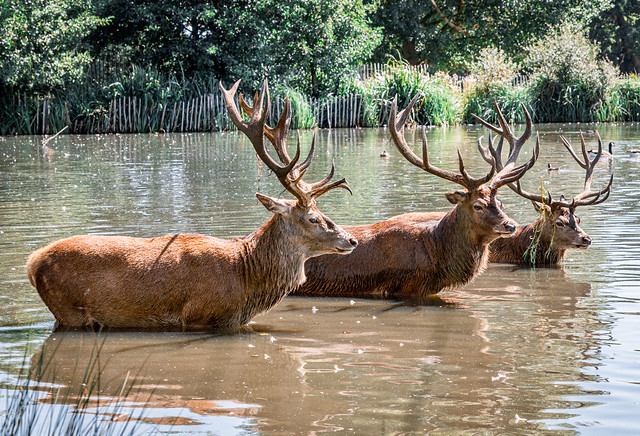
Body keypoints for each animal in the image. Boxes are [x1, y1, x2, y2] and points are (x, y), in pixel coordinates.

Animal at [25, 79, 358, 330]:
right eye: (312, 218)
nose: (352, 240)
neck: (245, 278)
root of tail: (32, 263)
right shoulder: (202, 315)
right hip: (69, 311)